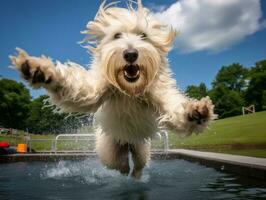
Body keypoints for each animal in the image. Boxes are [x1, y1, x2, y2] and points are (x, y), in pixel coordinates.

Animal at [9, 0, 216, 178]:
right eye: (117, 36)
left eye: (143, 36)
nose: (130, 54)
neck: (129, 90)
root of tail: (128, 143)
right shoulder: (96, 89)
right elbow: (78, 88)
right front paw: (43, 72)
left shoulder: (158, 93)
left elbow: (173, 107)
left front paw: (195, 112)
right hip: (110, 150)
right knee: (120, 165)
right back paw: (126, 171)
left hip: (141, 149)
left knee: (138, 164)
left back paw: (136, 175)